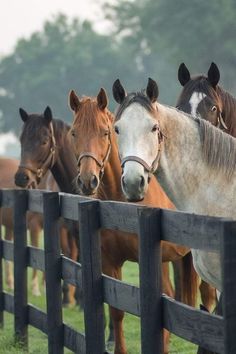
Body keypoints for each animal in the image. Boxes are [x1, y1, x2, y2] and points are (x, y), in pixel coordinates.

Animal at [68, 88, 201, 354]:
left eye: (105, 132)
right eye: (74, 132)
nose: (88, 181)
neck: (123, 206)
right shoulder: (110, 262)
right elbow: (117, 310)